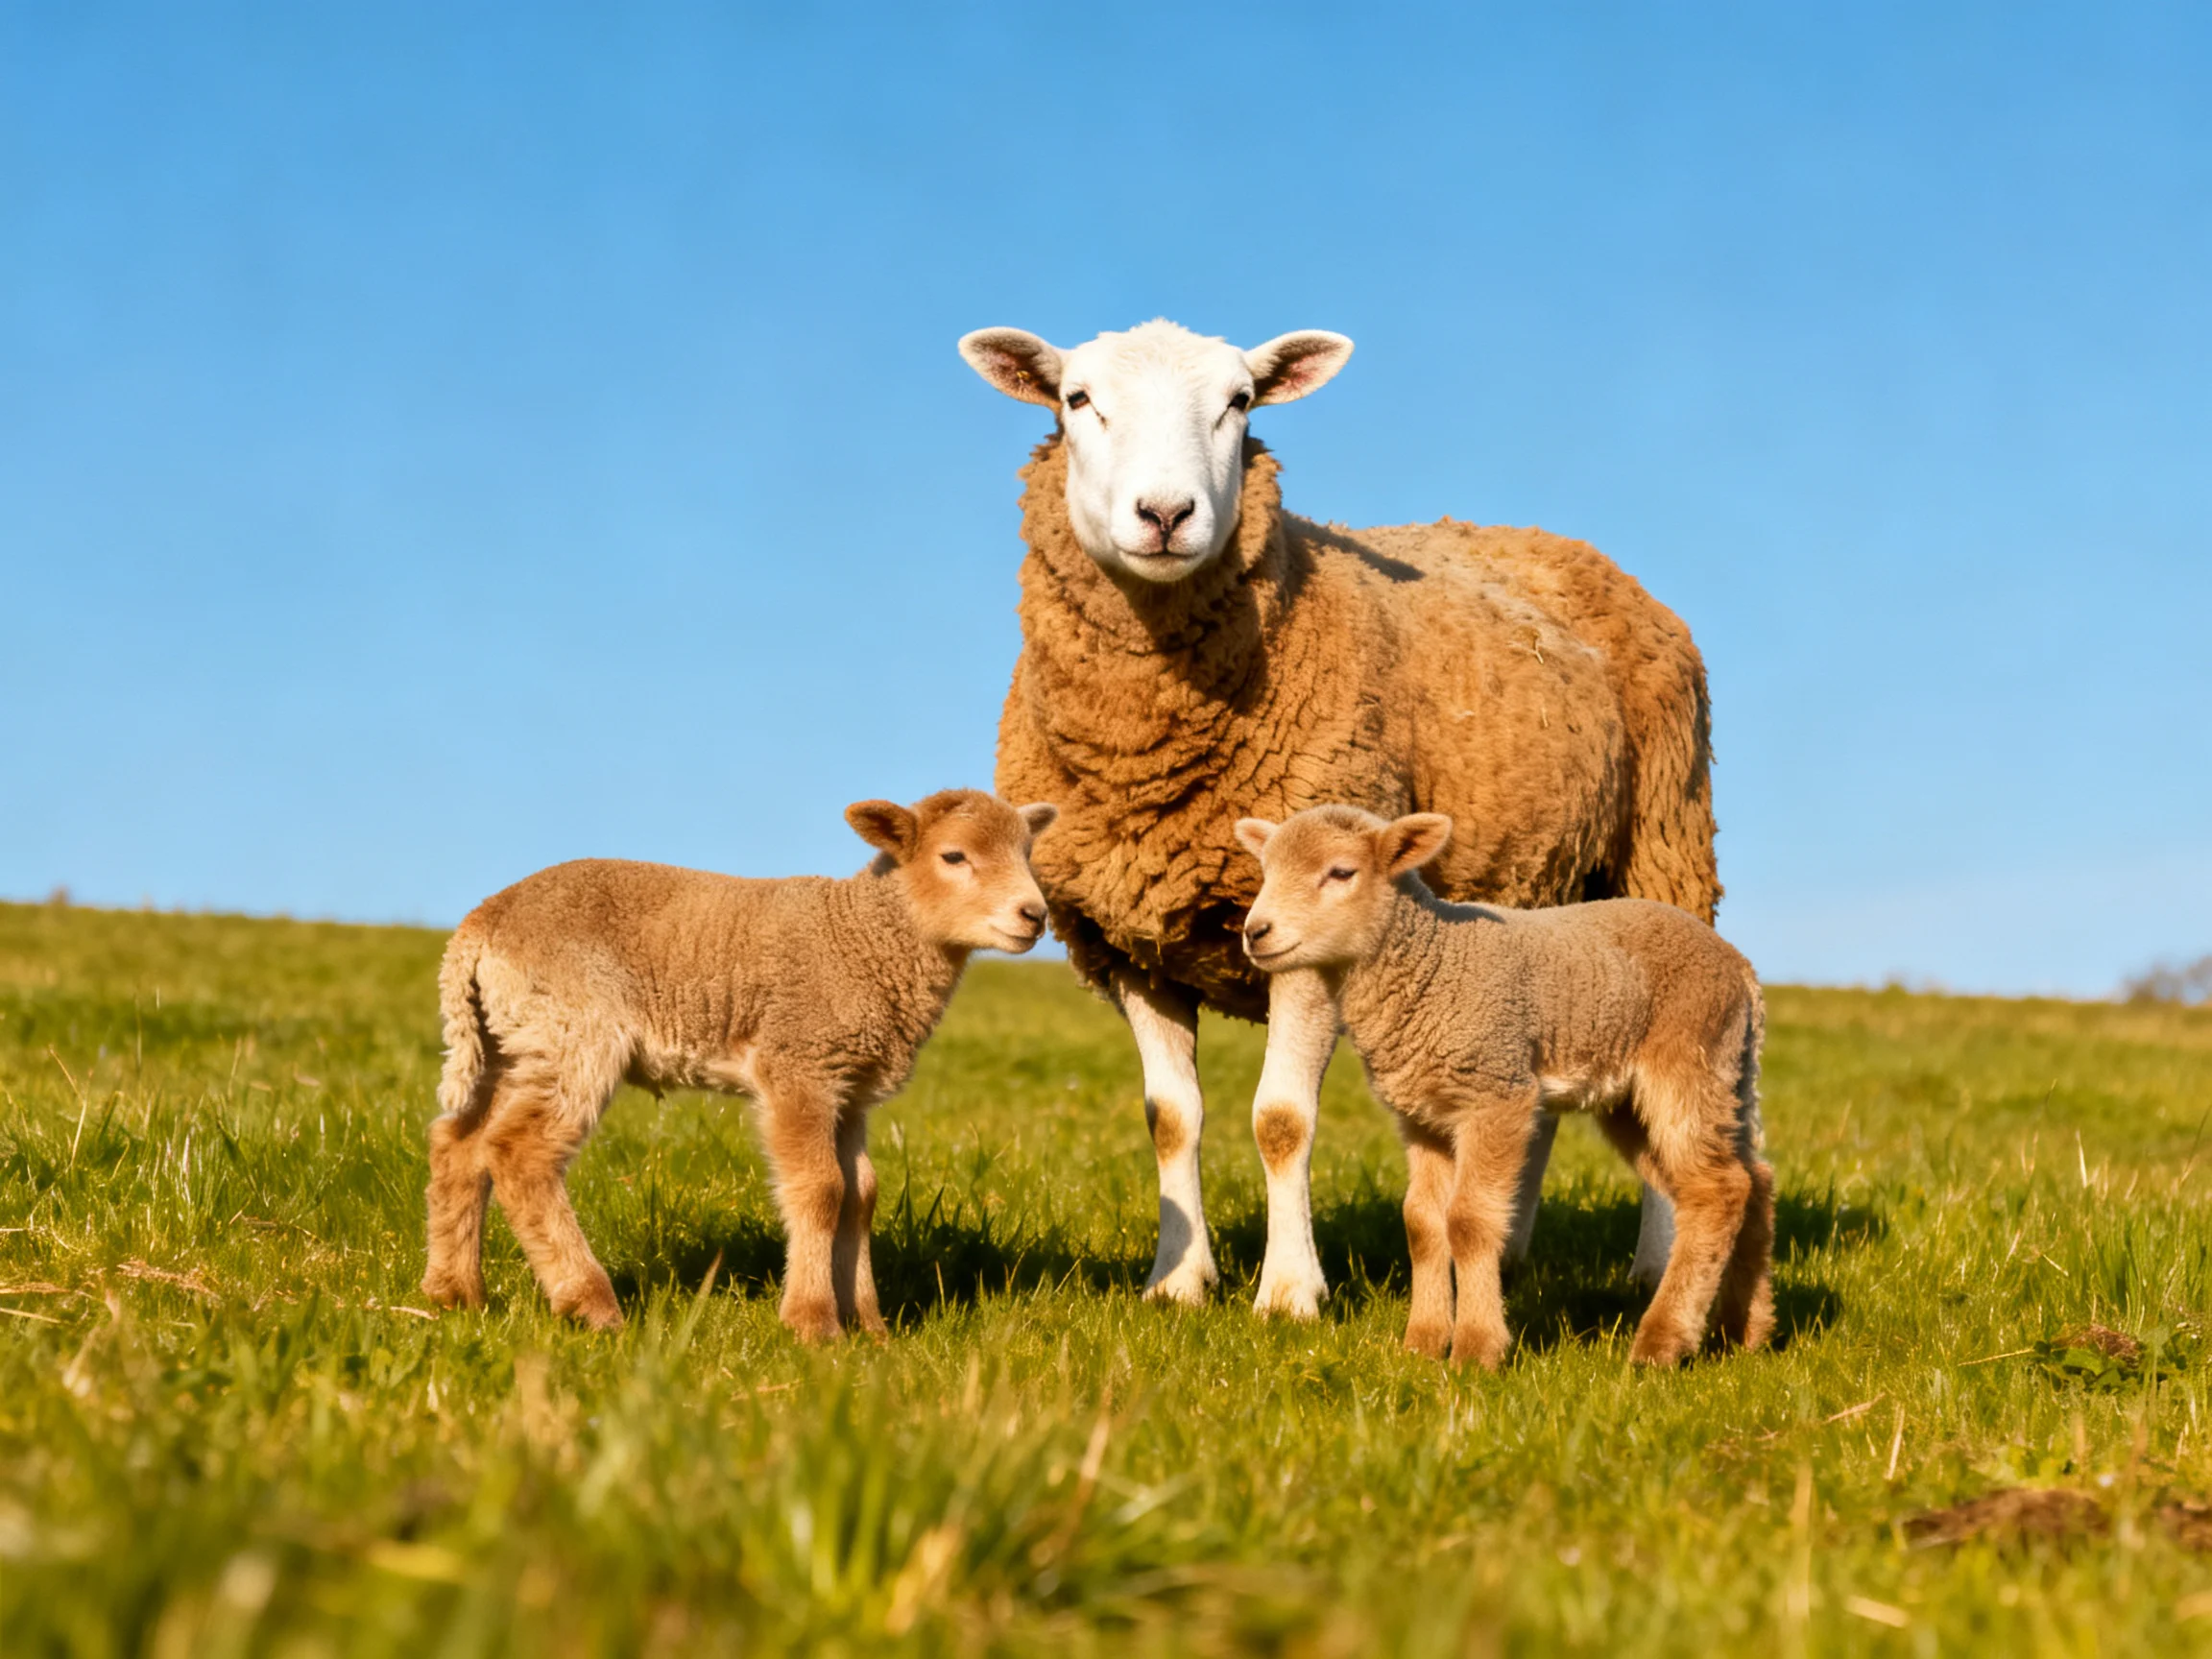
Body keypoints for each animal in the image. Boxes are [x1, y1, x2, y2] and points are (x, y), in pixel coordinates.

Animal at [418, 790, 1058, 1338]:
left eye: (1027, 853)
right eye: (954, 856)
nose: (1035, 915)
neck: (861, 937)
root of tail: (481, 925)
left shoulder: (849, 1085)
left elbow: (861, 1195)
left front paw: (870, 1328)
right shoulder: (799, 1062)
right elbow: (821, 1188)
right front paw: (813, 1323)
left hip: (512, 1040)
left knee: (461, 1144)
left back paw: (454, 1295)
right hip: (574, 1030)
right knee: (520, 1154)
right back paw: (589, 1303)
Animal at [958, 318, 1721, 1318]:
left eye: (1240, 402)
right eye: (1076, 399)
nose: (1165, 515)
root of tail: (1570, 548)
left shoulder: (1317, 934)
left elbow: (1281, 1121)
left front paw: (1289, 1294)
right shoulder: (1129, 944)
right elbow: (1171, 1121)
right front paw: (1178, 1281)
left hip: (1663, 853)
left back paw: (1653, 1266)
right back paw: (1510, 1252)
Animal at [1234, 805, 1772, 1369]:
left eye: (1341, 872)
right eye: (1266, 871)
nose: (1256, 932)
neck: (1433, 963)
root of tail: (1742, 970)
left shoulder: (1497, 1093)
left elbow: (1469, 1222)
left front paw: (1476, 1350)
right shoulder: (1424, 1115)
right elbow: (1422, 1224)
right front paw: (1423, 1343)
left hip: (1688, 1059)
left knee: (1718, 1190)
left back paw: (1662, 1341)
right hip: (1682, 1086)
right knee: (1748, 1179)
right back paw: (1746, 1331)